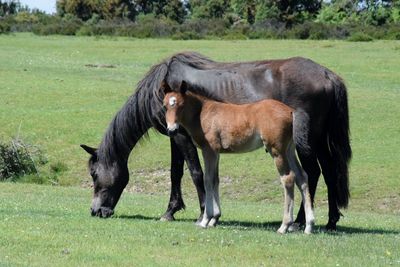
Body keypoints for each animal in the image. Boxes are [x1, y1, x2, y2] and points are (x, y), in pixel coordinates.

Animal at [164, 82, 314, 234]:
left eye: (181, 105)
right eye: (165, 106)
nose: (172, 130)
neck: (202, 114)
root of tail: (291, 111)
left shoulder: (209, 151)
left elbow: (208, 180)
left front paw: (205, 220)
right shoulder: (216, 153)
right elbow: (215, 180)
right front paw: (214, 218)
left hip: (277, 151)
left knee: (288, 178)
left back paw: (284, 225)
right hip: (289, 150)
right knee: (302, 177)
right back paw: (309, 226)